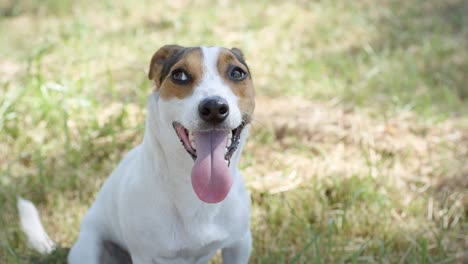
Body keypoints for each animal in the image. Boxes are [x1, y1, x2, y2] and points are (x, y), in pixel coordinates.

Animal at [19, 44, 256, 262]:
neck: (194, 192)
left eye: (237, 73)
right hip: (90, 245)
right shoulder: (145, 255)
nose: (214, 107)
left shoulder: (239, 243)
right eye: (179, 75)